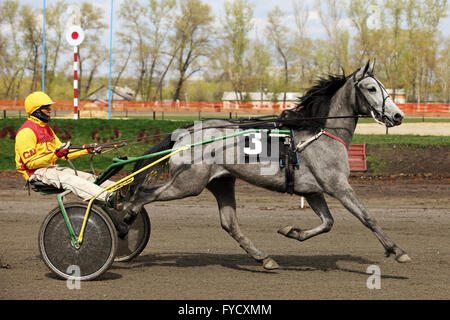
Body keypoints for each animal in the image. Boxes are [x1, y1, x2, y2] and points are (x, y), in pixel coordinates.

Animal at [123, 60, 412, 270]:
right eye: (371, 88)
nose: (398, 115)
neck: (321, 133)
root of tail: (185, 132)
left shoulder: (312, 190)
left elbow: (328, 222)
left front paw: (291, 231)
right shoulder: (337, 186)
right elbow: (367, 217)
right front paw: (397, 250)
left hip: (221, 182)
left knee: (229, 223)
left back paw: (264, 258)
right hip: (188, 183)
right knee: (143, 194)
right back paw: (125, 220)